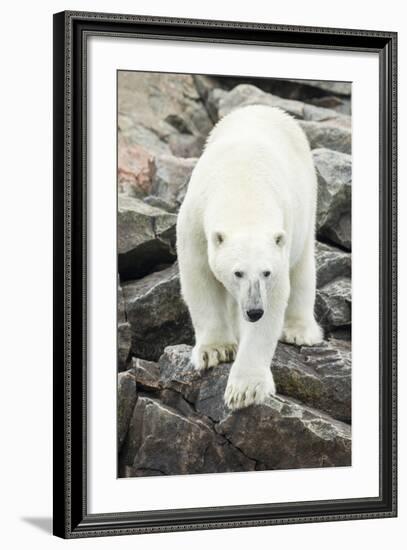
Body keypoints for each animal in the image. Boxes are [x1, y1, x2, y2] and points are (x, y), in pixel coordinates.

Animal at [177, 105, 324, 412]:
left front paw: (245, 389)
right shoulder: (195, 219)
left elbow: (277, 296)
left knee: (303, 268)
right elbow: (199, 277)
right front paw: (215, 350)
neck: (243, 188)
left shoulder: (281, 239)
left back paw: (299, 330)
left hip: (307, 203)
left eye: (266, 273)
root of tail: (266, 107)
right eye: (238, 272)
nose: (255, 311)